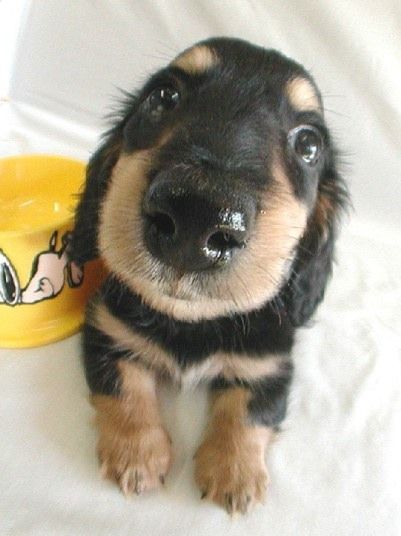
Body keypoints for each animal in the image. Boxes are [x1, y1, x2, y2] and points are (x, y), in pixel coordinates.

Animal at [69, 37, 348, 514]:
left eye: (309, 144)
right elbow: (124, 387)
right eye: (163, 96)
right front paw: (136, 455)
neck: (192, 322)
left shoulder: (269, 363)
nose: (197, 215)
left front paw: (235, 473)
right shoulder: (106, 328)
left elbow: (249, 410)